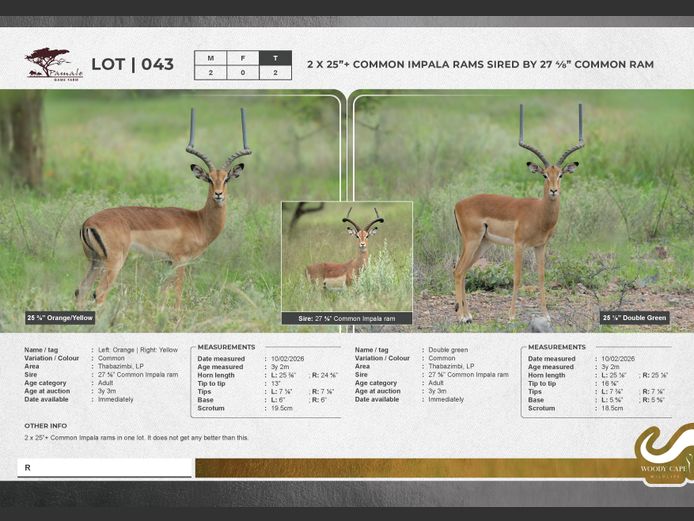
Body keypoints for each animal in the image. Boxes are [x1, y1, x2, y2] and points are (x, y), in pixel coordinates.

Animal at [75, 108, 251, 308]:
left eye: (226, 178)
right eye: (209, 179)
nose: (218, 194)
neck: (199, 221)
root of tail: (88, 223)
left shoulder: (168, 263)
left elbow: (162, 293)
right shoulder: (180, 261)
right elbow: (178, 294)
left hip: (95, 261)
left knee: (81, 291)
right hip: (114, 262)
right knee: (99, 293)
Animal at [453, 104, 584, 323]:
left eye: (561, 175)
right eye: (544, 175)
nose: (553, 191)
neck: (539, 213)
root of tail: (458, 204)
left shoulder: (540, 246)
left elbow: (541, 277)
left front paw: (546, 315)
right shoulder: (519, 245)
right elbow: (517, 278)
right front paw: (512, 316)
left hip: (482, 244)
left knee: (463, 272)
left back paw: (469, 314)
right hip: (472, 241)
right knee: (458, 271)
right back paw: (463, 317)